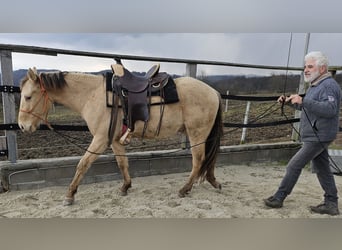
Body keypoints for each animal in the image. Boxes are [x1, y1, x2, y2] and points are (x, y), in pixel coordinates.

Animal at [18, 64, 223, 205]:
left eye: (28, 96)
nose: (22, 125)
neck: (93, 95)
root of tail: (214, 92)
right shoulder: (115, 140)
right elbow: (122, 163)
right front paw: (125, 186)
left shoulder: (100, 139)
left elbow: (83, 164)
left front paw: (69, 195)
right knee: (210, 157)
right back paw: (213, 181)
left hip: (197, 133)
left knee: (198, 160)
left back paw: (184, 189)